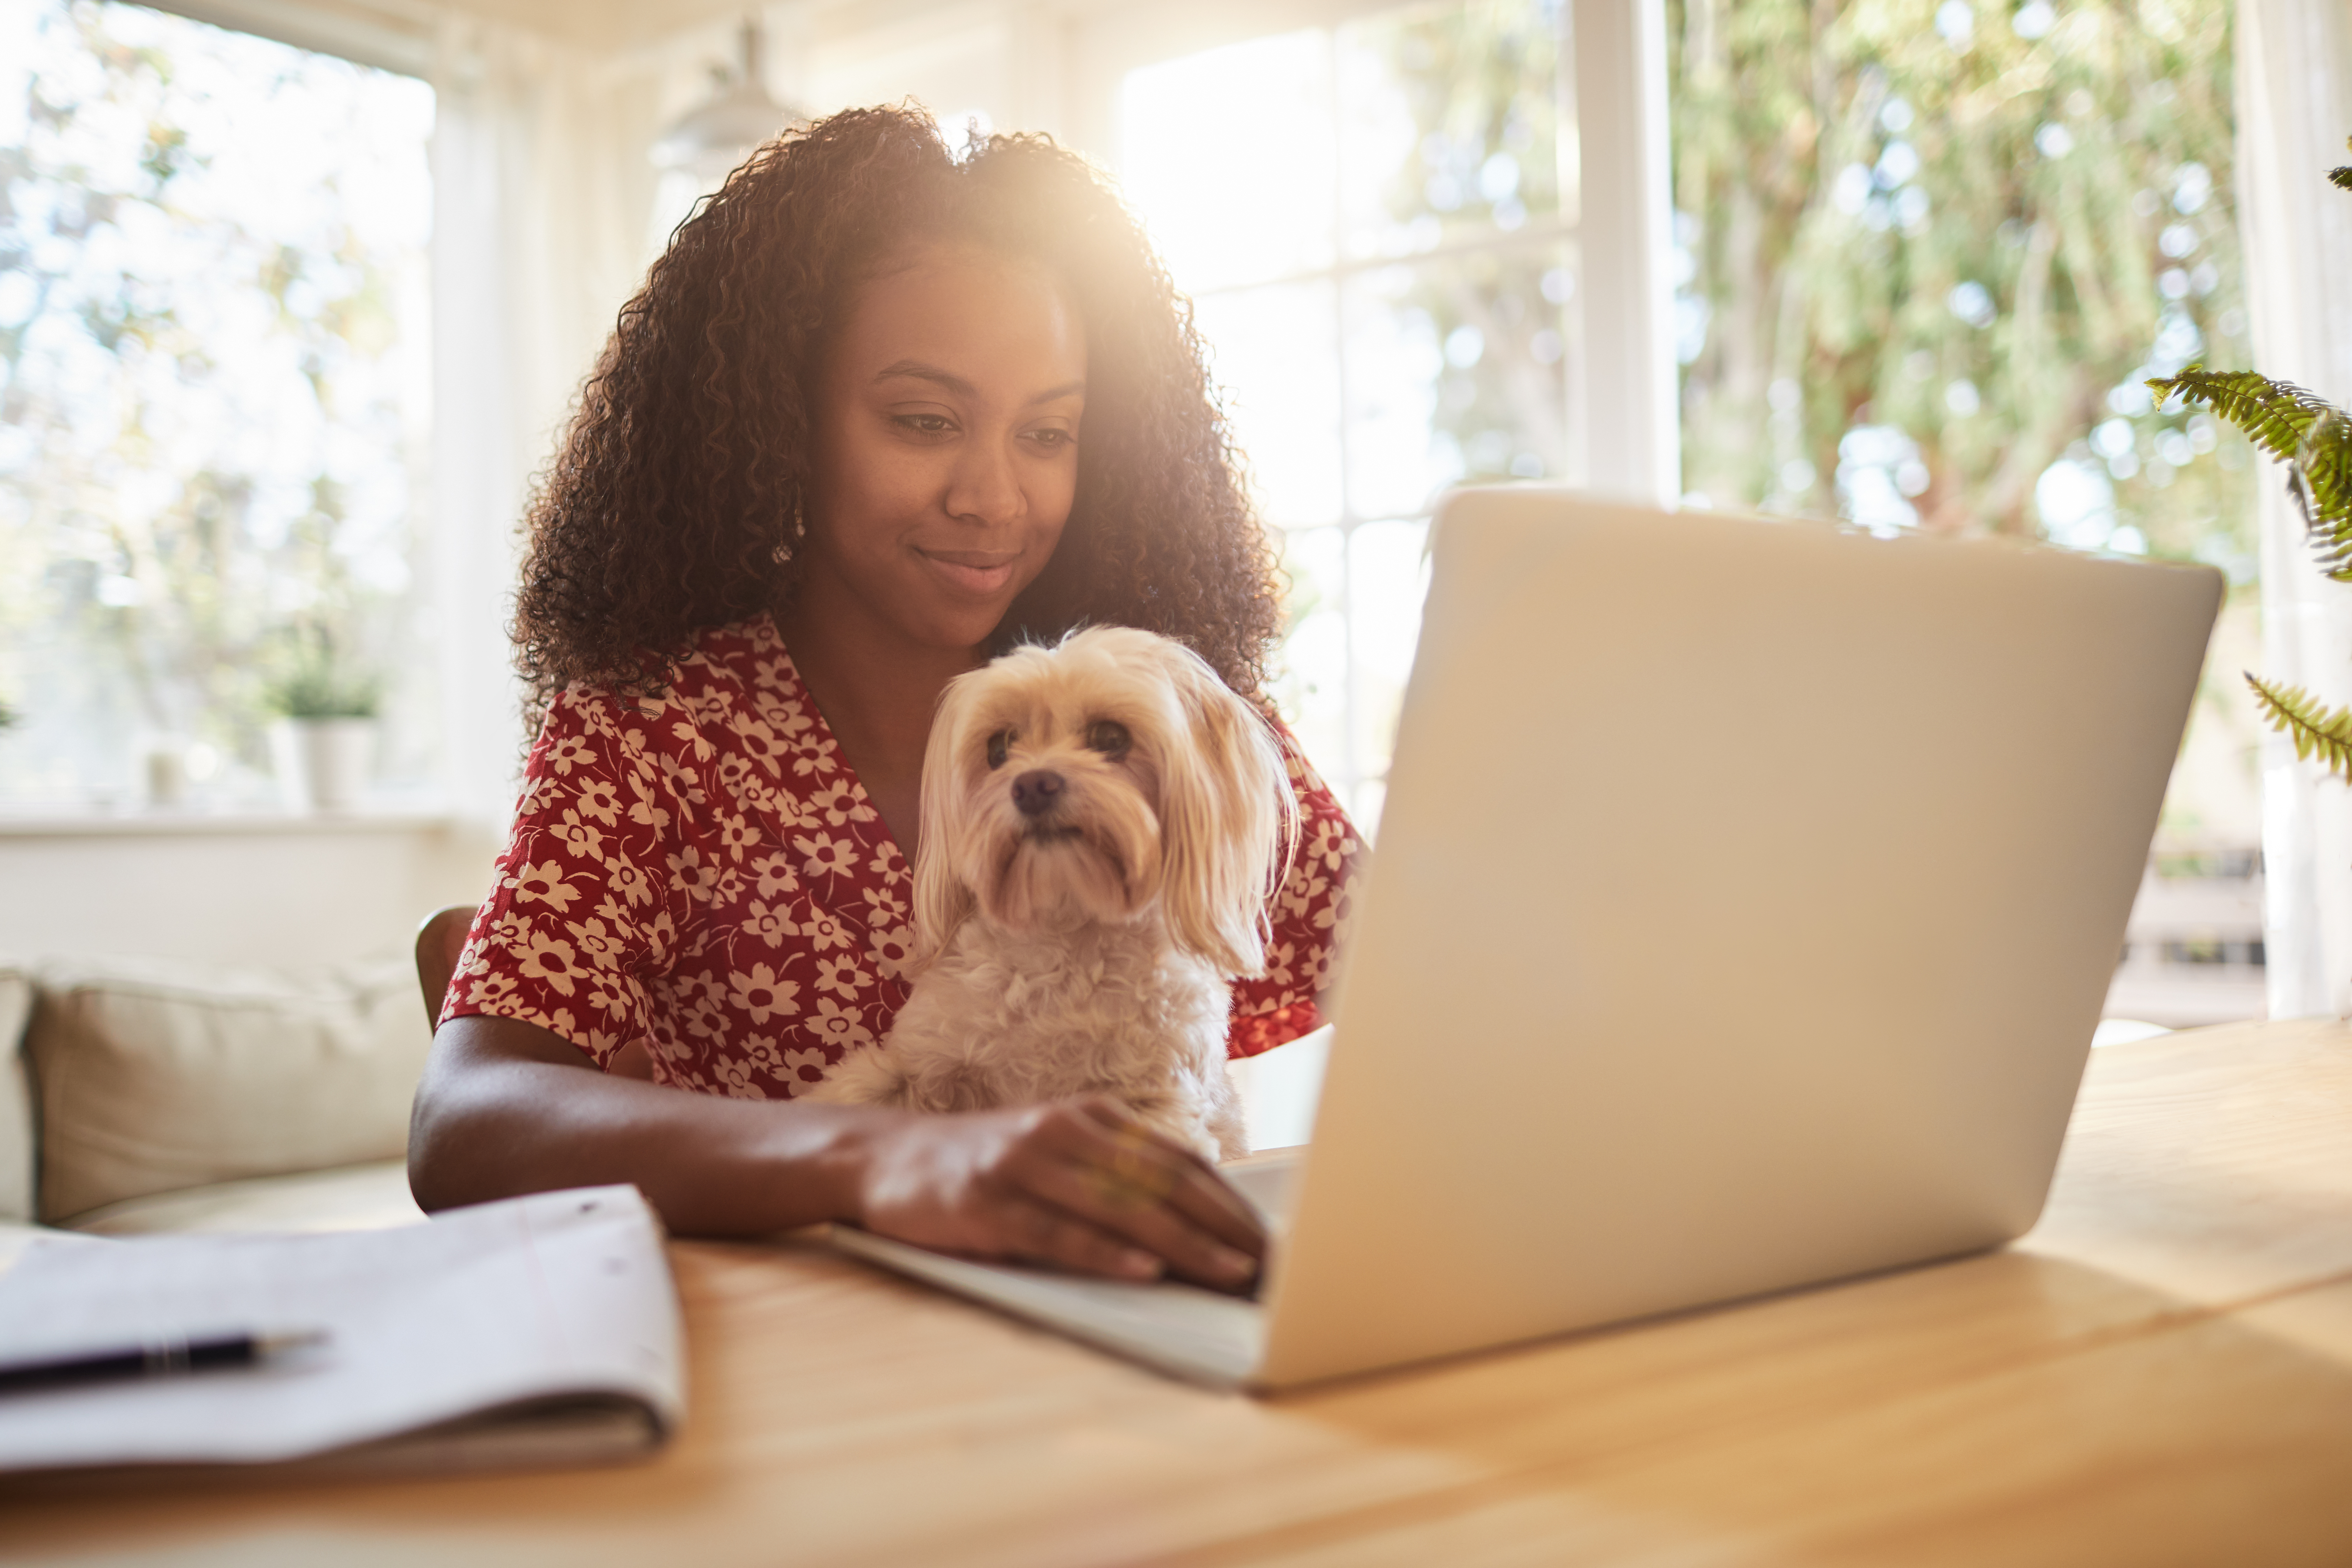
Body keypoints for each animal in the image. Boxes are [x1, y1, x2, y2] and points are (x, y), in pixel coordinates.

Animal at [804, 630, 1289, 1166]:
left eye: (1111, 738)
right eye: (998, 749)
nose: (1033, 785)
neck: (1064, 925)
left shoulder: (1158, 1097)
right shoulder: (920, 1063)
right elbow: (859, 1092)